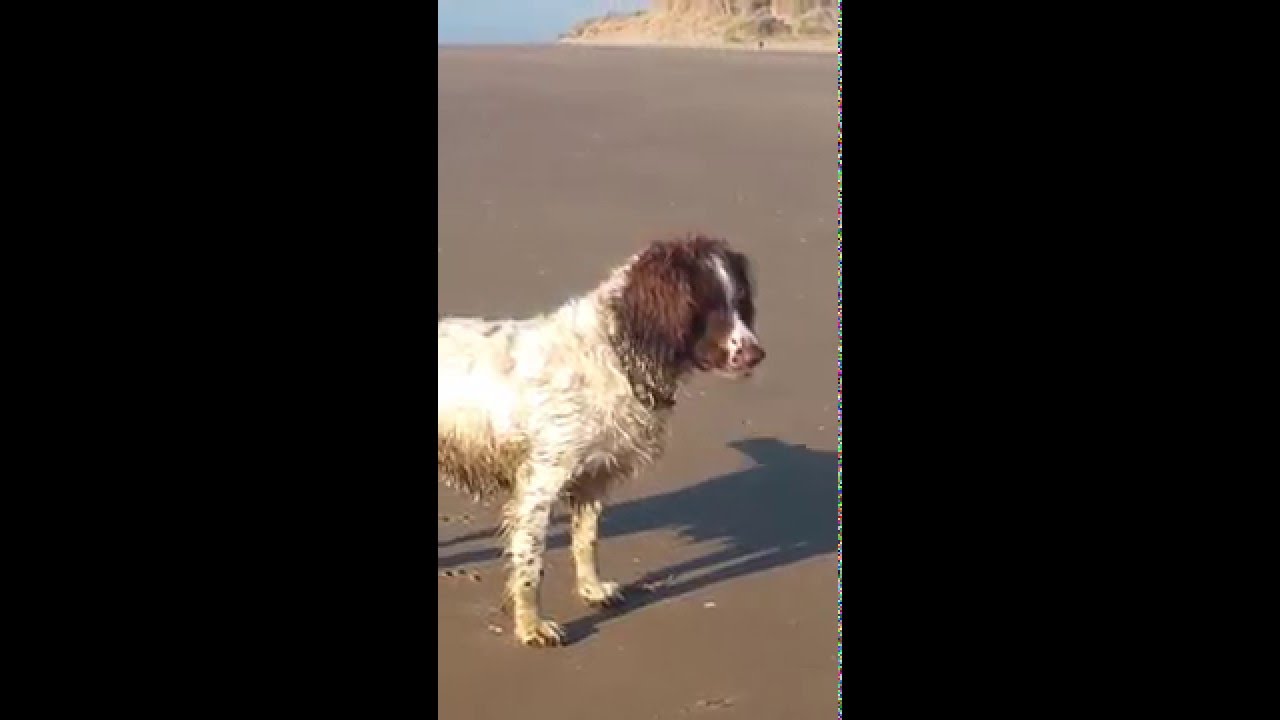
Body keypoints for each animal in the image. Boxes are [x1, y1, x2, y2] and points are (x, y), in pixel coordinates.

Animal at [435, 234, 762, 645]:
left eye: (741, 300)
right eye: (706, 304)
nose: (756, 354)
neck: (616, 352)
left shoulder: (594, 476)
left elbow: (586, 539)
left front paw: (592, 590)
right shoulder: (540, 483)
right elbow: (531, 565)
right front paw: (531, 626)